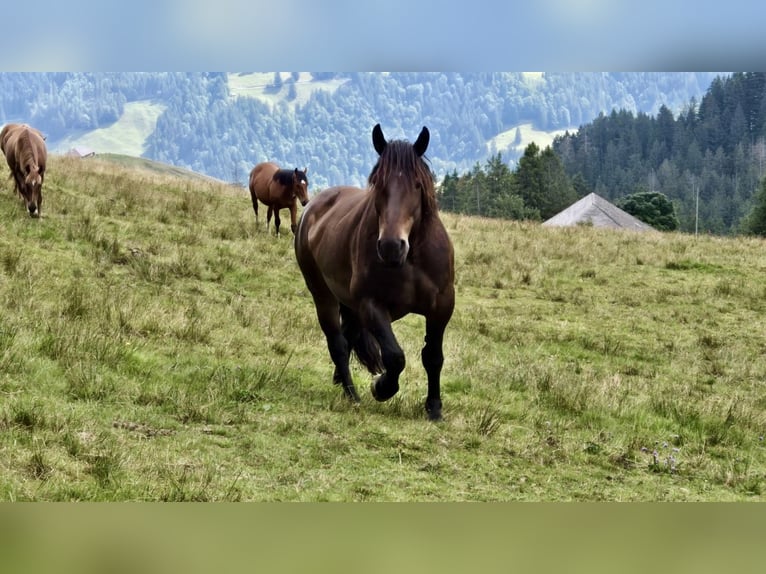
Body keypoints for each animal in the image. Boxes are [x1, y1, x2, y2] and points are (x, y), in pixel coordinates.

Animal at [294, 124, 455, 421]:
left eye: (417, 184)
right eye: (379, 184)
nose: (391, 246)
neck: (411, 260)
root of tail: (312, 207)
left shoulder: (442, 307)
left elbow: (433, 356)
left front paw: (434, 408)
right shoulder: (372, 306)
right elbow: (395, 356)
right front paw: (382, 387)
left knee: (347, 337)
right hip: (323, 295)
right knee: (338, 343)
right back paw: (352, 394)